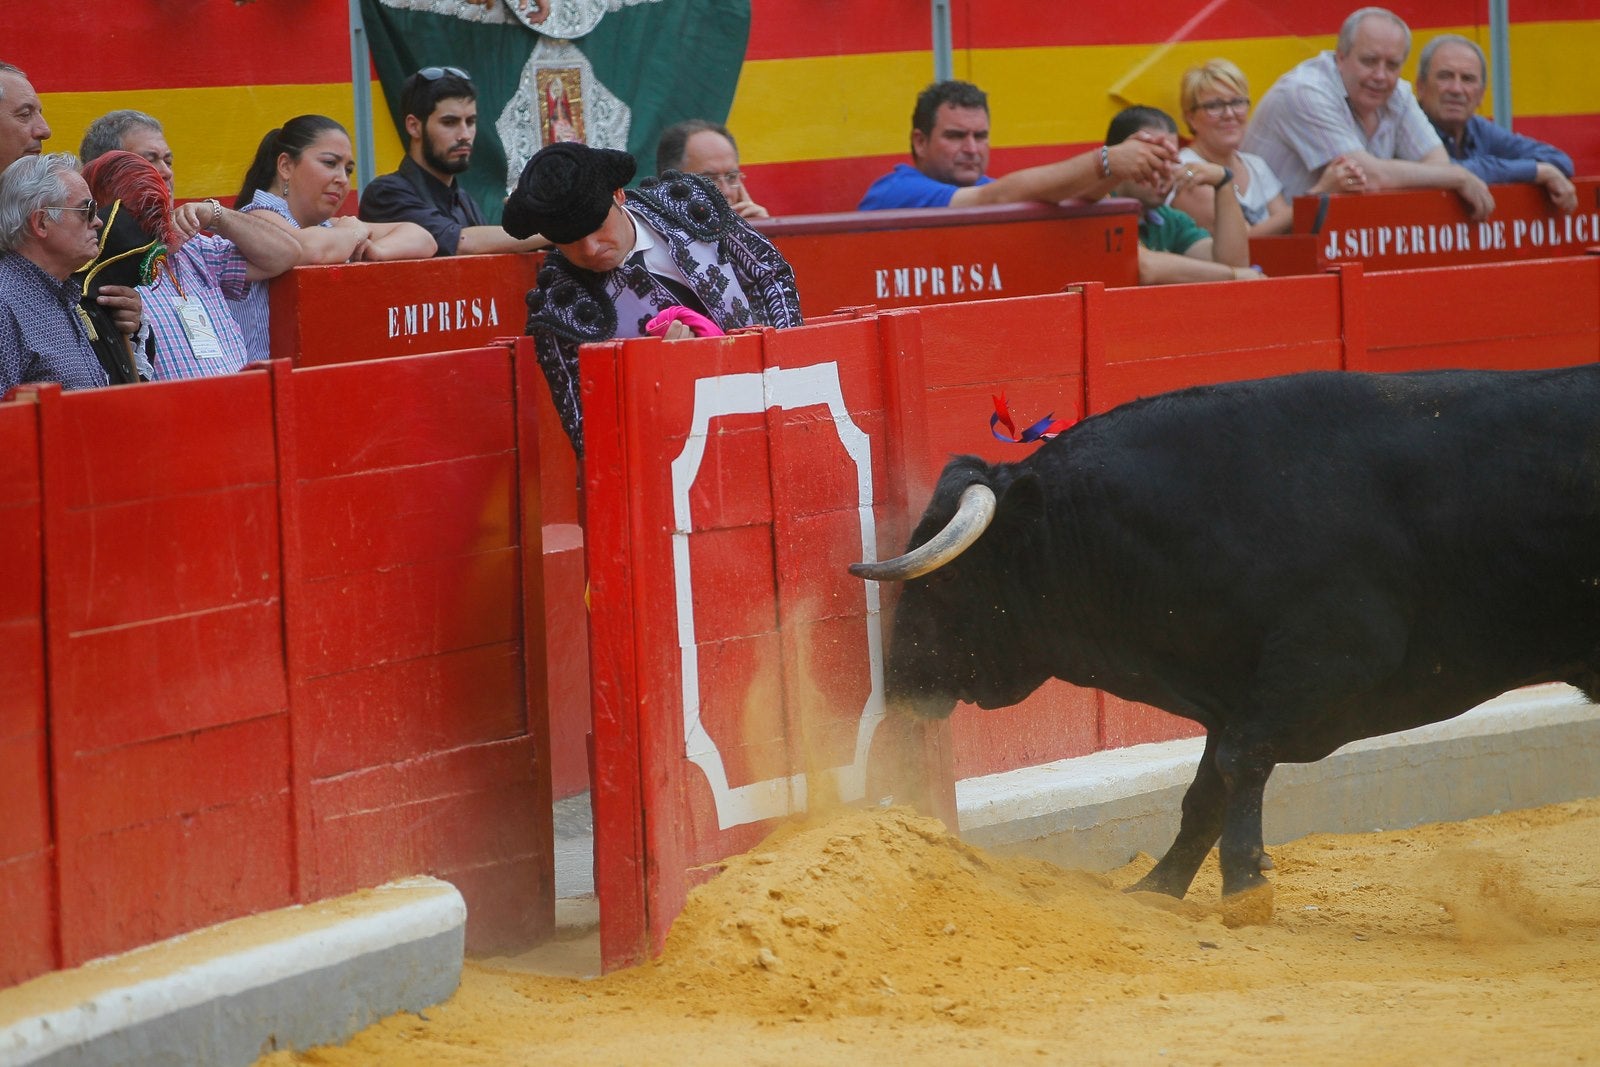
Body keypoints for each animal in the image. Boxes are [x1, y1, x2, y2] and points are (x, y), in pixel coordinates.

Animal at [857, 367, 1600, 902]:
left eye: (946, 579)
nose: (901, 682)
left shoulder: (1329, 660)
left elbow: (1240, 762)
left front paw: (1244, 885)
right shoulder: (1237, 687)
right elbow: (1205, 788)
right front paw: (1157, 887)